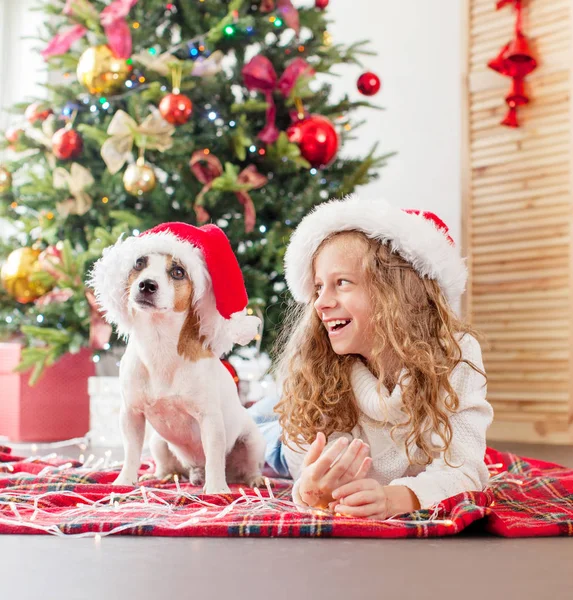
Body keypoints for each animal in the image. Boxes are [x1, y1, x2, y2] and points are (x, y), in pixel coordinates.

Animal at [89, 223, 266, 494]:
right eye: (139, 263)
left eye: (178, 271)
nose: (147, 285)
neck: (159, 343)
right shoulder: (131, 414)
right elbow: (131, 452)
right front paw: (125, 480)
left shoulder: (210, 420)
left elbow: (214, 457)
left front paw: (217, 490)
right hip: (158, 442)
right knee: (168, 465)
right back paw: (162, 476)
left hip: (252, 441)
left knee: (248, 467)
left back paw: (252, 480)